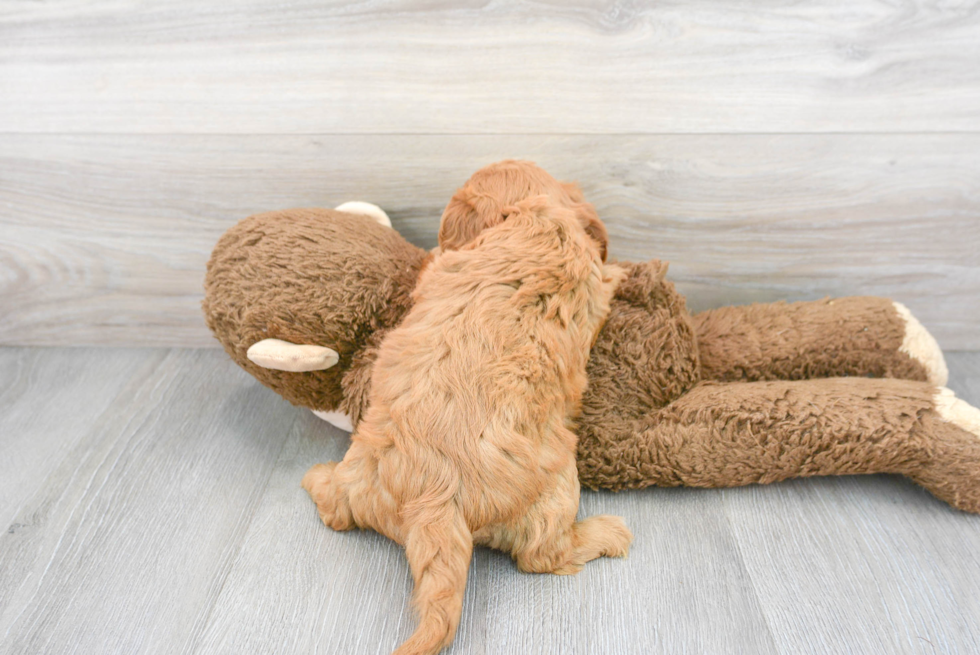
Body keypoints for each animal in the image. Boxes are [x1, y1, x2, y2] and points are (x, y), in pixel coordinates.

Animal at [302, 195, 632, 655]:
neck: (535, 222)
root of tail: (433, 496)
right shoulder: (590, 287)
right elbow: (605, 282)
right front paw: (621, 269)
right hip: (557, 485)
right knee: (542, 553)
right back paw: (605, 533)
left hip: (360, 472)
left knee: (336, 509)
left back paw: (317, 478)